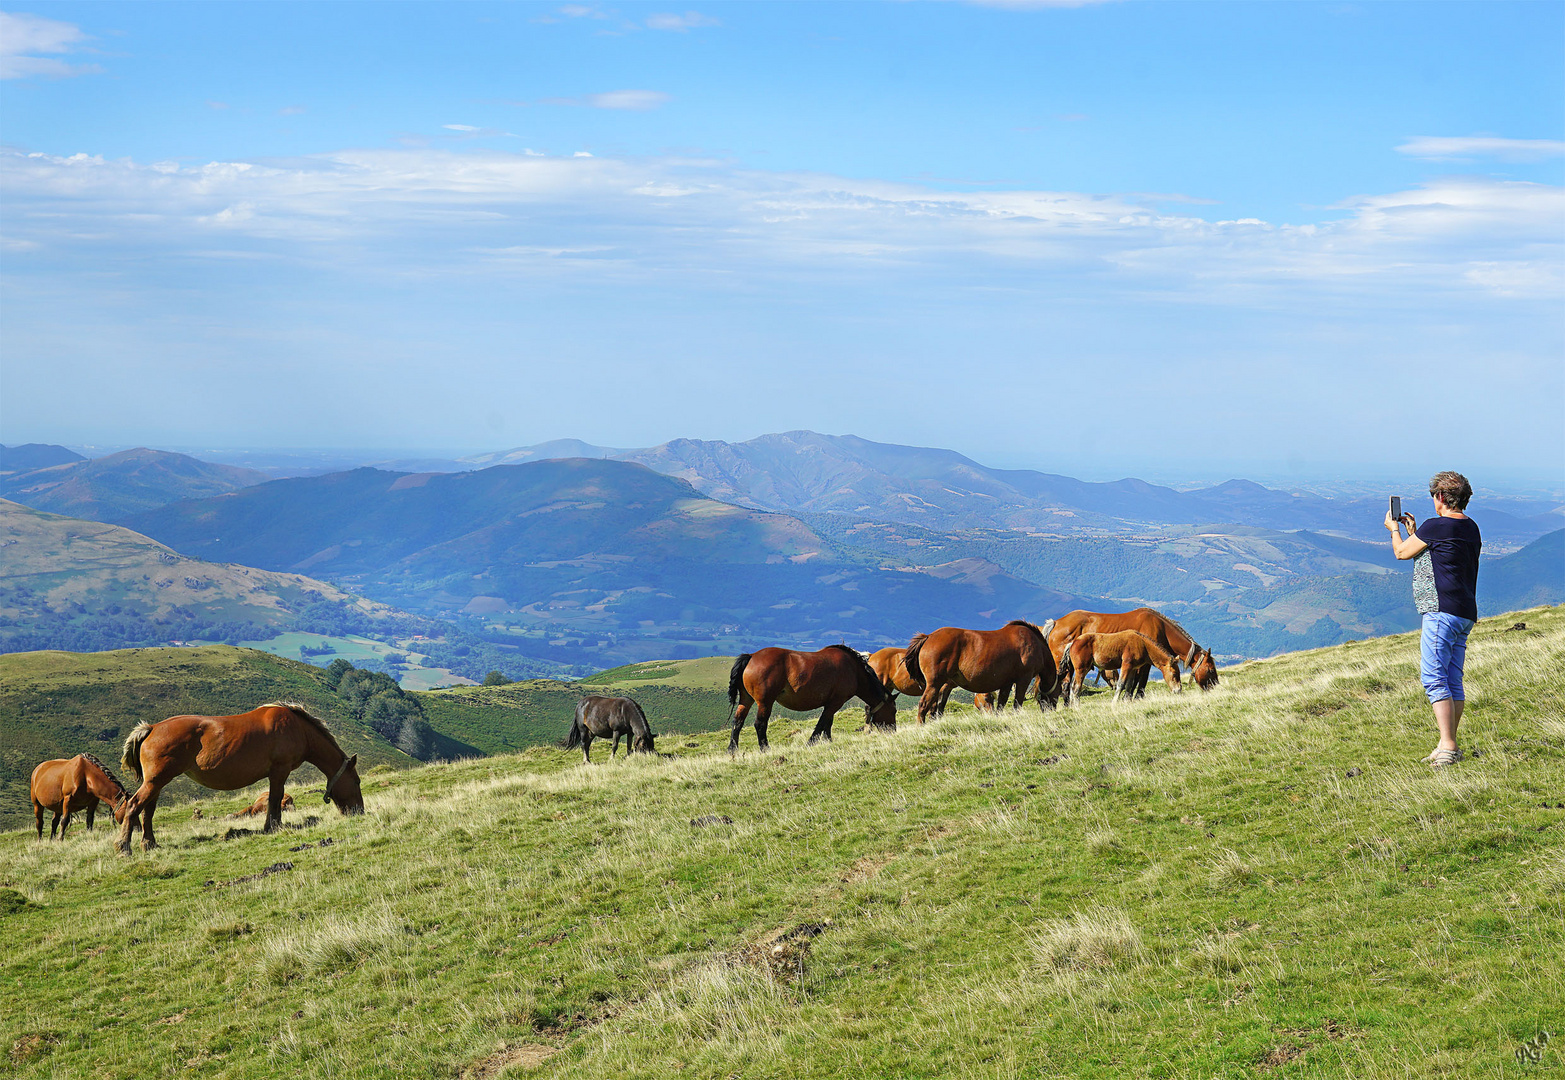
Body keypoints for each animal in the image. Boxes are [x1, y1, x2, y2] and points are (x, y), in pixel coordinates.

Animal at [116, 701, 363, 851]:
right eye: (357, 781)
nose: (359, 811)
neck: (297, 727)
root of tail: (152, 728)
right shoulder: (279, 771)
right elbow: (275, 799)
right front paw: (273, 827)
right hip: (155, 781)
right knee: (134, 806)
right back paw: (123, 847)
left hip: (156, 783)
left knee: (147, 810)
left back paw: (149, 844)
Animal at [723, 638, 888, 748]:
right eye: (892, 709)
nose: (891, 730)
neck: (853, 669)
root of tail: (751, 656)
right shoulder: (836, 702)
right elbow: (822, 722)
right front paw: (812, 742)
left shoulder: (832, 702)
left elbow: (828, 723)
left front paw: (828, 741)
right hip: (765, 702)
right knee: (760, 724)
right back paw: (765, 748)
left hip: (746, 700)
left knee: (737, 721)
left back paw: (733, 750)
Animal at [901, 613, 1057, 723]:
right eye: (1059, 691)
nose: (1052, 710)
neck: (1035, 644)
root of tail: (928, 637)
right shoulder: (1023, 679)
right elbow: (1017, 703)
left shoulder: (1007, 683)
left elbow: (1001, 704)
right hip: (935, 683)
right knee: (924, 705)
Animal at [1051, 607, 1220, 688]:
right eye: (1211, 670)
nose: (1216, 687)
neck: (1160, 628)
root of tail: (1056, 623)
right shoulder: (1145, 663)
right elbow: (1139, 682)